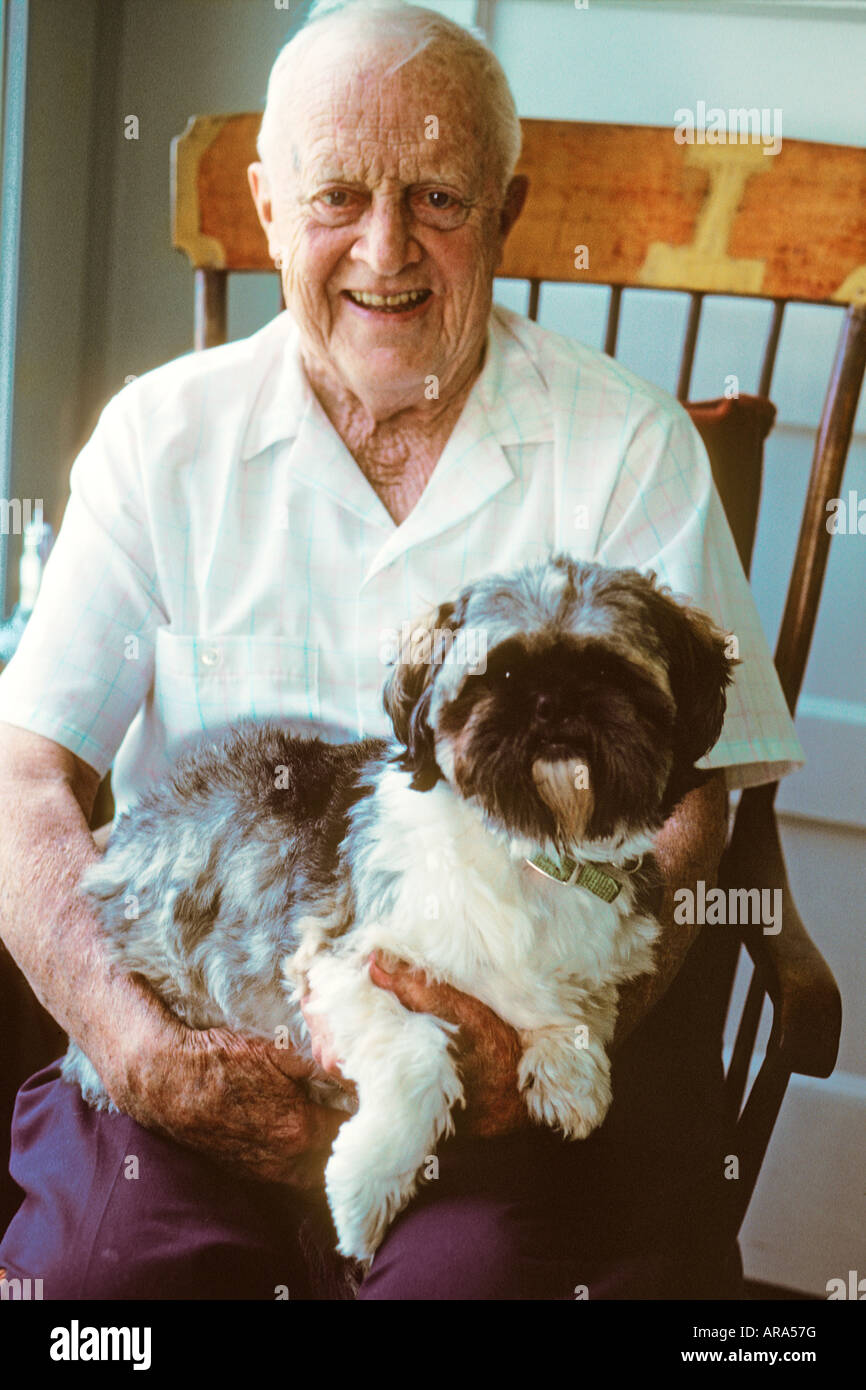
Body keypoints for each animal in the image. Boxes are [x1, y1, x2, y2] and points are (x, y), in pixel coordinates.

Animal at [64, 550, 733, 1262]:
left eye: (609, 671)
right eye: (498, 673)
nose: (554, 703)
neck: (533, 851)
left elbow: (576, 1013)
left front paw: (571, 1075)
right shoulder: (338, 963)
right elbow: (419, 1053)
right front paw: (368, 1189)